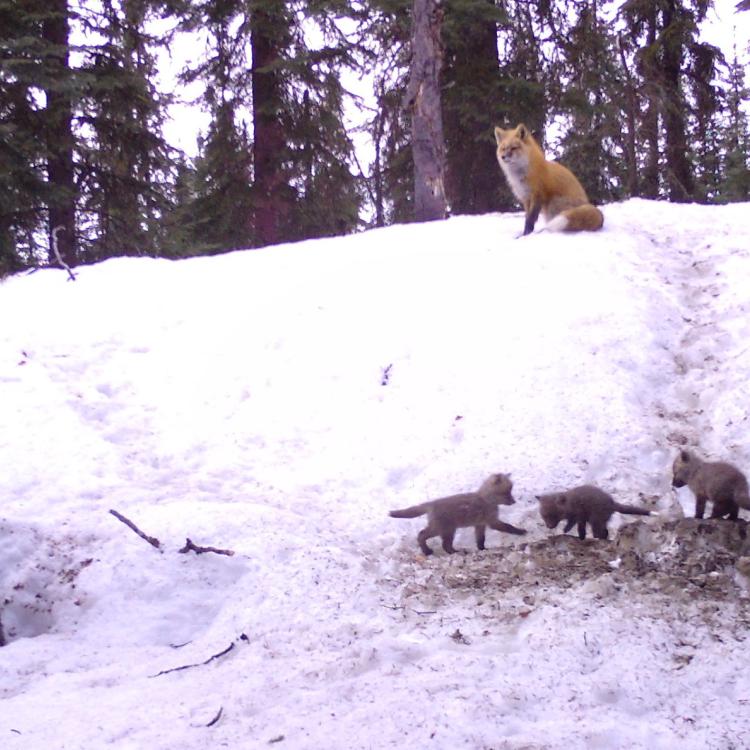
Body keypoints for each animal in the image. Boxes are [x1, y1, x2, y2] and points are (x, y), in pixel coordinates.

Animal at [389, 473, 527, 555]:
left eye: (510, 491)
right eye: (506, 493)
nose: (514, 501)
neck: (486, 499)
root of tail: (431, 504)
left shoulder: (480, 524)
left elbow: (480, 539)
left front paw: (482, 549)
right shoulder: (492, 521)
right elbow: (509, 527)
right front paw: (521, 532)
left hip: (447, 530)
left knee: (444, 544)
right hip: (444, 529)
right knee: (425, 536)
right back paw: (430, 551)